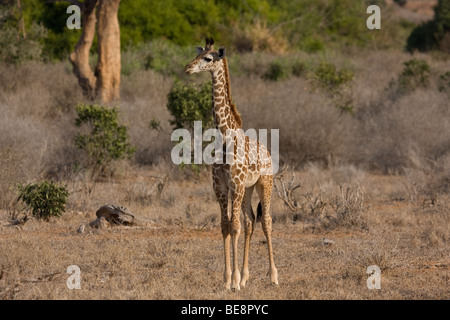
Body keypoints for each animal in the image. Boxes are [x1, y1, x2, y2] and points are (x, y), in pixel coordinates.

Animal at [184, 37, 278, 290]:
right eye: (197, 54)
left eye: (208, 58)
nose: (187, 68)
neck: (225, 135)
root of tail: (267, 152)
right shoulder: (221, 188)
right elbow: (226, 226)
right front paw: (228, 279)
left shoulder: (235, 186)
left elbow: (234, 227)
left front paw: (234, 281)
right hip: (247, 191)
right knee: (250, 222)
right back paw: (245, 276)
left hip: (264, 184)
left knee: (266, 221)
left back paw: (273, 276)